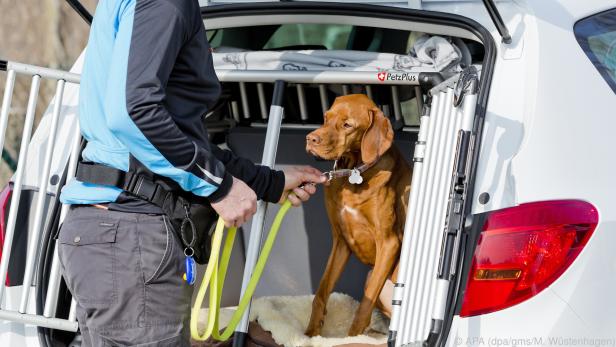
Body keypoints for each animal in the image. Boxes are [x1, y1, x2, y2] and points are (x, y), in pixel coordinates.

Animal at [306, 94, 412, 336]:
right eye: (326, 117)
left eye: (348, 125)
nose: (310, 139)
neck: (354, 173)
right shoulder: (340, 241)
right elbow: (321, 292)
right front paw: (309, 333)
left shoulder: (389, 242)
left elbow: (364, 305)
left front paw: (350, 337)